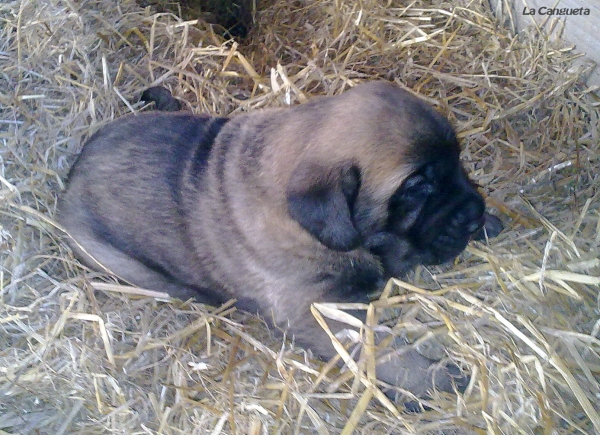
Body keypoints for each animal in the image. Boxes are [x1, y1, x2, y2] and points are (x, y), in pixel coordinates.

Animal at [59, 81, 502, 402]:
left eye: (457, 161)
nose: (473, 212)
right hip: (111, 257)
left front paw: (489, 221)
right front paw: (435, 379)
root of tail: (77, 166)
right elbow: (378, 349)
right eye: (418, 187)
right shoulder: (316, 311)